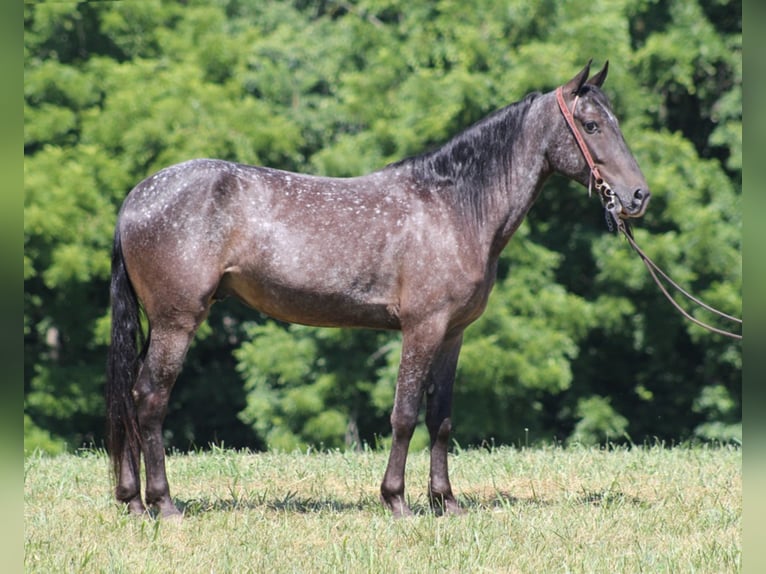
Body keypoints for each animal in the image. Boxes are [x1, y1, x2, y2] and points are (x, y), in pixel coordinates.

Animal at [106, 60, 648, 520]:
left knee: (130, 396)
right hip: (177, 322)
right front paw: (397, 501)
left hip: (160, 325)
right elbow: (404, 414)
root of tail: (137, 197)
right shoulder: (422, 328)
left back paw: (133, 501)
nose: (638, 196)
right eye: (592, 125)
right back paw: (164, 505)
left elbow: (440, 418)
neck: (454, 207)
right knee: (150, 398)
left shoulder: (453, 334)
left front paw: (446, 503)